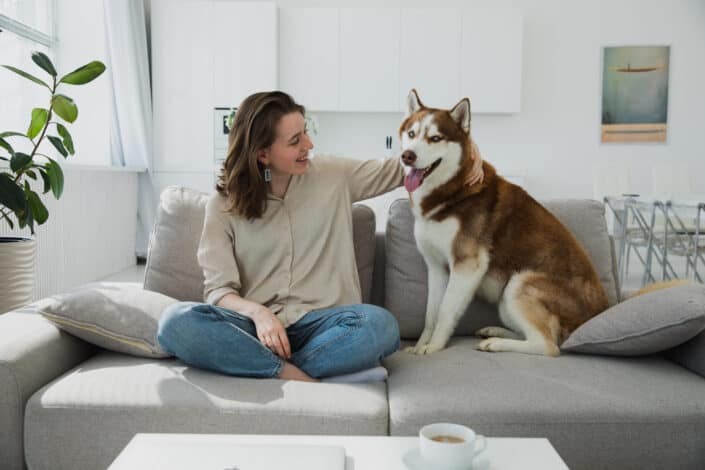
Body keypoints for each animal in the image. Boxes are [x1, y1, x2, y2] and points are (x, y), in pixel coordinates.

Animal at [398, 90, 608, 356]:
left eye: (435, 138)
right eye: (411, 134)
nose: (408, 156)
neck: (451, 193)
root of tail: (594, 317)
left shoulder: (467, 266)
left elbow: (445, 312)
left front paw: (433, 347)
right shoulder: (436, 268)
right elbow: (430, 315)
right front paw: (419, 345)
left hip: (518, 284)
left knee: (547, 345)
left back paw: (496, 343)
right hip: (506, 300)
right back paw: (495, 331)